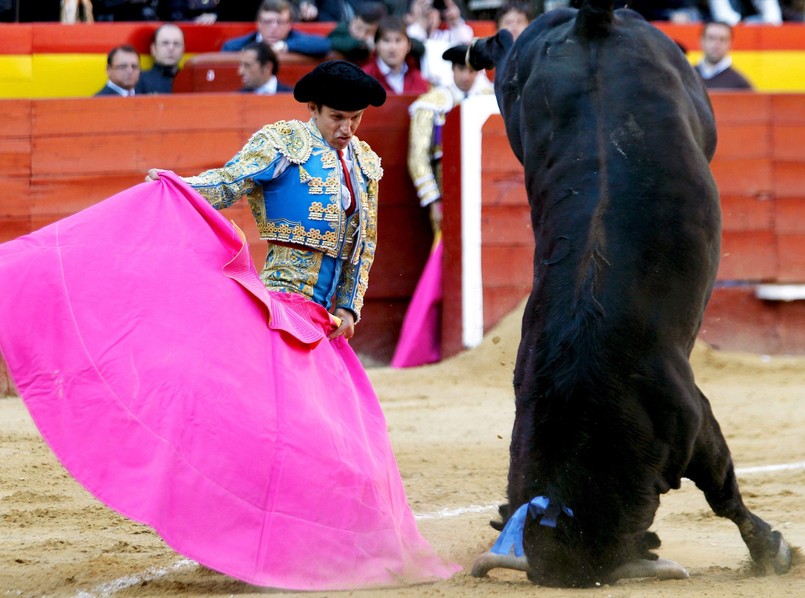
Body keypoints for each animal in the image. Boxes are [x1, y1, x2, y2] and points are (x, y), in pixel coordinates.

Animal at [468, 1, 788, 592]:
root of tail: (591, 24)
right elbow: (722, 489)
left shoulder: (693, 416)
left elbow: (723, 490)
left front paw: (772, 549)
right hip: (516, 96)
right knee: (502, 49)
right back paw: (474, 48)